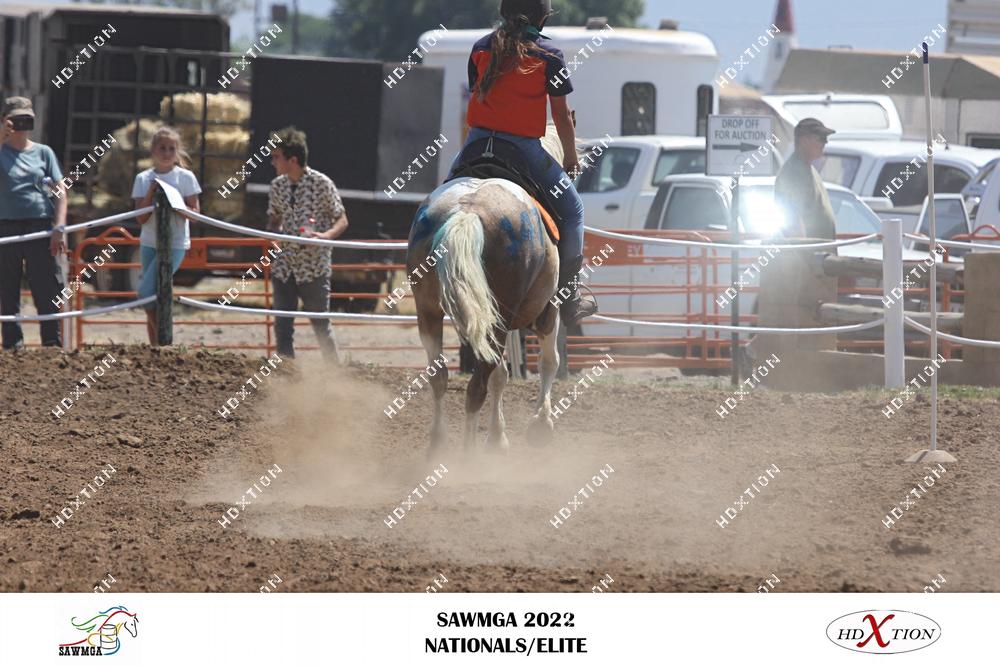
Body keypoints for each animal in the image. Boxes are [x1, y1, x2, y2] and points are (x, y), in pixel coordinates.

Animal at [408, 125, 571, 453]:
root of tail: (467, 213)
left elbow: (502, 374)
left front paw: (498, 436)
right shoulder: (549, 309)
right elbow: (549, 361)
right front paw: (541, 424)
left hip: (429, 310)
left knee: (440, 377)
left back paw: (438, 443)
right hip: (501, 317)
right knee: (477, 385)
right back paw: (468, 454)